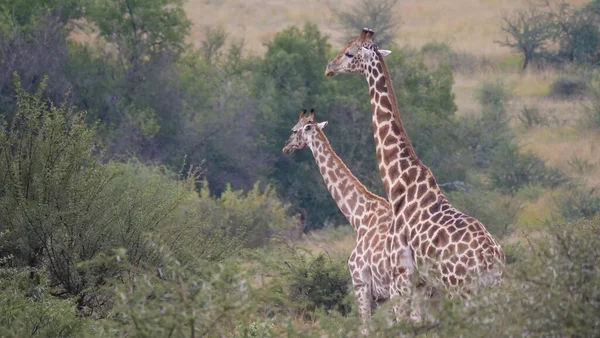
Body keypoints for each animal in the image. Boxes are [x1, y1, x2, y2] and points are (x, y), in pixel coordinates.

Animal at [282, 109, 404, 324]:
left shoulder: (361, 283)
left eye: (294, 130)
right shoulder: (381, 296)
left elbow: (365, 326)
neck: (359, 217)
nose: (285, 147)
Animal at [324, 28, 506, 308]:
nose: (329, 67)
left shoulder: (401, 278)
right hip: (492, 290)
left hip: (461, 290)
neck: (398, 183)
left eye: (350, 53)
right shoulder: (419, 285)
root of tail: (491, 260)